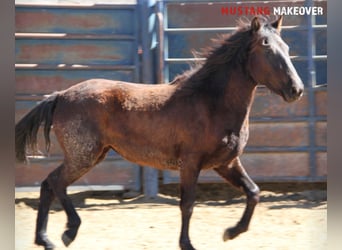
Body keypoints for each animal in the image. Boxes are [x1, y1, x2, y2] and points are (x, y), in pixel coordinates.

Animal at [16, 16, 304, 250]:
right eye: (266, 47)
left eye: (287, 48)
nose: (297, 90)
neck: (211, 102)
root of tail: (61, 95)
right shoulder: (191, 163)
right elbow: (187, 204)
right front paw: (187, 244)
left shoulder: (226, 163)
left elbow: (253, 192)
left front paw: (231, 232)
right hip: (83, 156)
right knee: (56, 183)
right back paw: (68, 232)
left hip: (91, 155)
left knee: (48, 184)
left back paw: (45, 239)